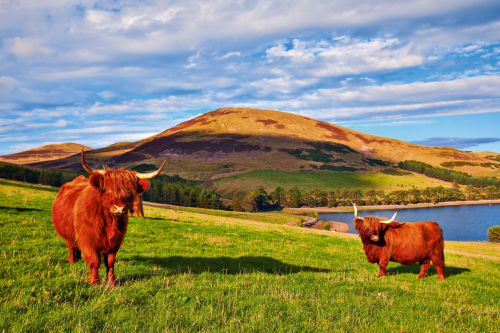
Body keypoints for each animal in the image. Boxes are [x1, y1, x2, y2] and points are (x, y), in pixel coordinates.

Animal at [52, 150, 166, 282]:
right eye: (108, 190)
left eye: (130, 192)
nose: (119, 209)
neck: (108, 221)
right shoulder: (88, 239)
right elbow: (94, 261)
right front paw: (94, 282)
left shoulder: (115, 241)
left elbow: (110, 262)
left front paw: (112, 282)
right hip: (67, 232)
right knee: (71, 246)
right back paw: (72, 260)